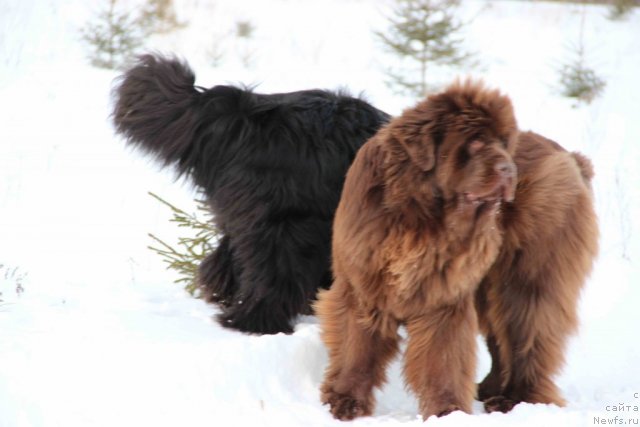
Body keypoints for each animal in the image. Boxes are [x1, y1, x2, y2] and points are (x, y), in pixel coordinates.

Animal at [318, 80, 596, 422]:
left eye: (503, 143)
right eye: (475, 141)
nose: (509, 169)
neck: (420, 215)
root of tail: (570, 157)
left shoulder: (443, 297)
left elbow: (443, 355)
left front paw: (447, 411)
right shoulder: (364, 281)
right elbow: (355, 344)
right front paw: (345, 401)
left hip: (527, 274)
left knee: (528, 331)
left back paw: (515, 399)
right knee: (499, 336)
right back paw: (490, 389)